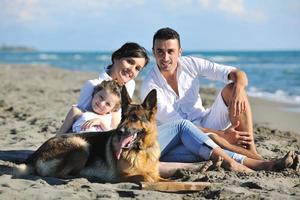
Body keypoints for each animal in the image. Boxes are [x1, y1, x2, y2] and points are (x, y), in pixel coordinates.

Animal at [15, 87, 162, 183]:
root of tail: (35, 155)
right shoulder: (119, 177)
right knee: (60, 174)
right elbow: (146, 177)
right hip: (81, 146)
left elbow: (157, 178)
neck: (141, 151)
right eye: (123, 117)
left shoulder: (156, 175)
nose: (118, 131)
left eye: (134, 118)